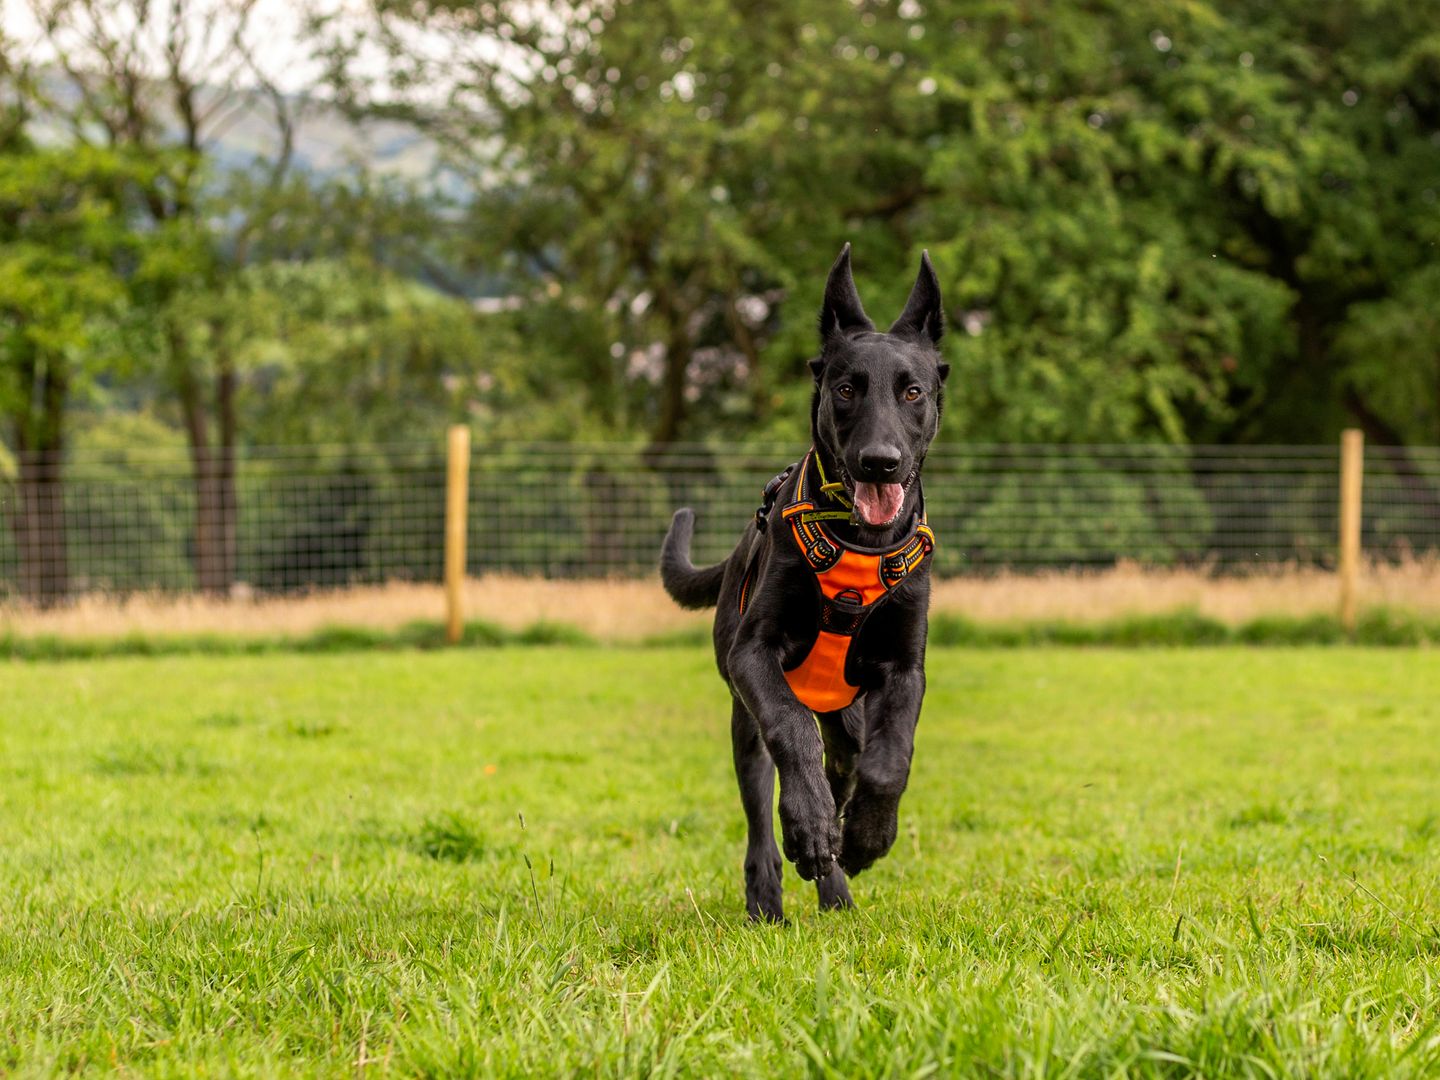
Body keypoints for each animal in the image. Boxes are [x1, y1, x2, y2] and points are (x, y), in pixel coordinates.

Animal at [659, 247, 944, 921]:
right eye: (845, 389)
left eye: (913, 391)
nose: (879, 462)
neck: (859, 545)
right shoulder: (753, 656)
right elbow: (791, 732)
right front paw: (810, 826)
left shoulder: (904, 670)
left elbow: (891, 760)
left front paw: (866, 835)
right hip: (743, 720)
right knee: (764, 800)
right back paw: (772, 884)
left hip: (850, 719)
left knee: (847, 761)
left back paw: (837, 877)